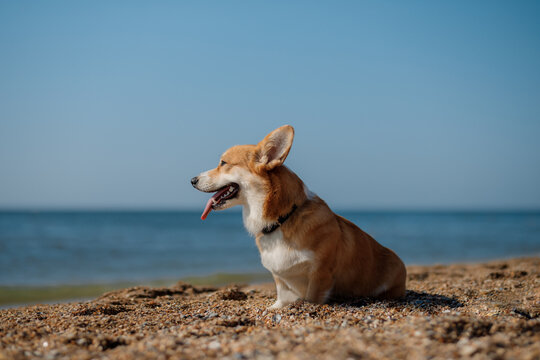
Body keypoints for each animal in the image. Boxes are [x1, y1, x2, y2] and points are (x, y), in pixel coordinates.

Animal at [191, 125, 404, 308]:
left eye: (223, 163)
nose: (192, 180)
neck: (282, 219)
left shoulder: (320, 274)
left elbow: (311, 298)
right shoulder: (280, 278)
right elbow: (282, 296)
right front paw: (276, 308)